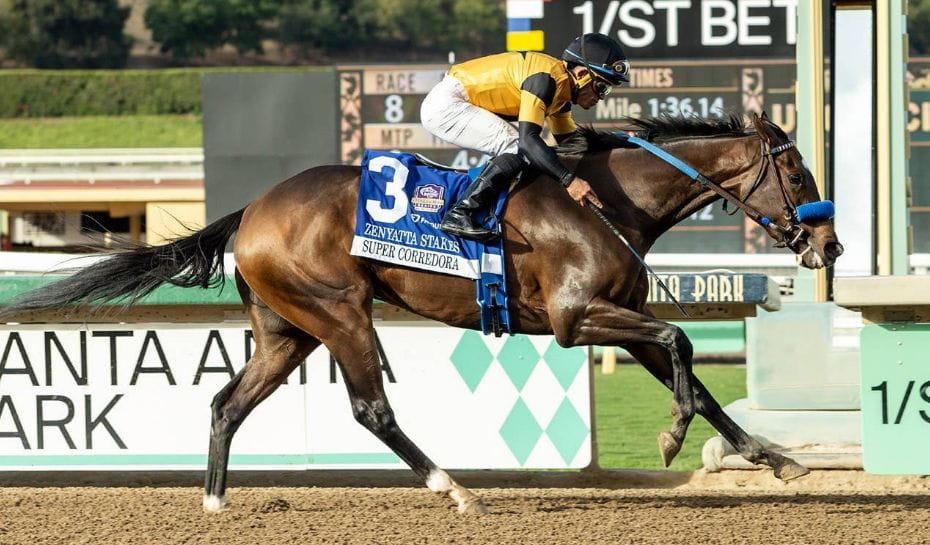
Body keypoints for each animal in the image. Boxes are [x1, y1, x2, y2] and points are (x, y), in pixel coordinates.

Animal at [2, 112, 843, 514]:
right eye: (799, 172)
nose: (830, 245)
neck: (606, 201)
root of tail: (253, 211)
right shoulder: (577, 318)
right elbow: (679, 342)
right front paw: (672, 437)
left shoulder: (617, 315)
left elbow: (689, 369)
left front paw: (776, 455)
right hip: (341, 312)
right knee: (371, 408)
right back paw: (455, 488)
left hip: (287, 331)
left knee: (226, 401)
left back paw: (214, 501)